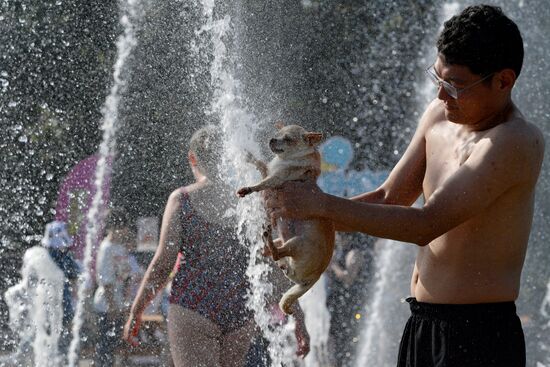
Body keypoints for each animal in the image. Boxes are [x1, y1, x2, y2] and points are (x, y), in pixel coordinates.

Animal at [237, 123, 336, 314]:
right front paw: (249, 156)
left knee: (277, 254)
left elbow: (261, 184)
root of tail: (314, 278)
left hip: (297, 243)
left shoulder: (276, 179)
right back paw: (268, 245)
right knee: (274, 255)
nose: (271, 139)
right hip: (284, 242)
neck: (287, 160)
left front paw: (248, 188)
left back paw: (269, 240)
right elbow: (261, 164)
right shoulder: (270, 171)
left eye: (288, 139)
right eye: (277, 134)